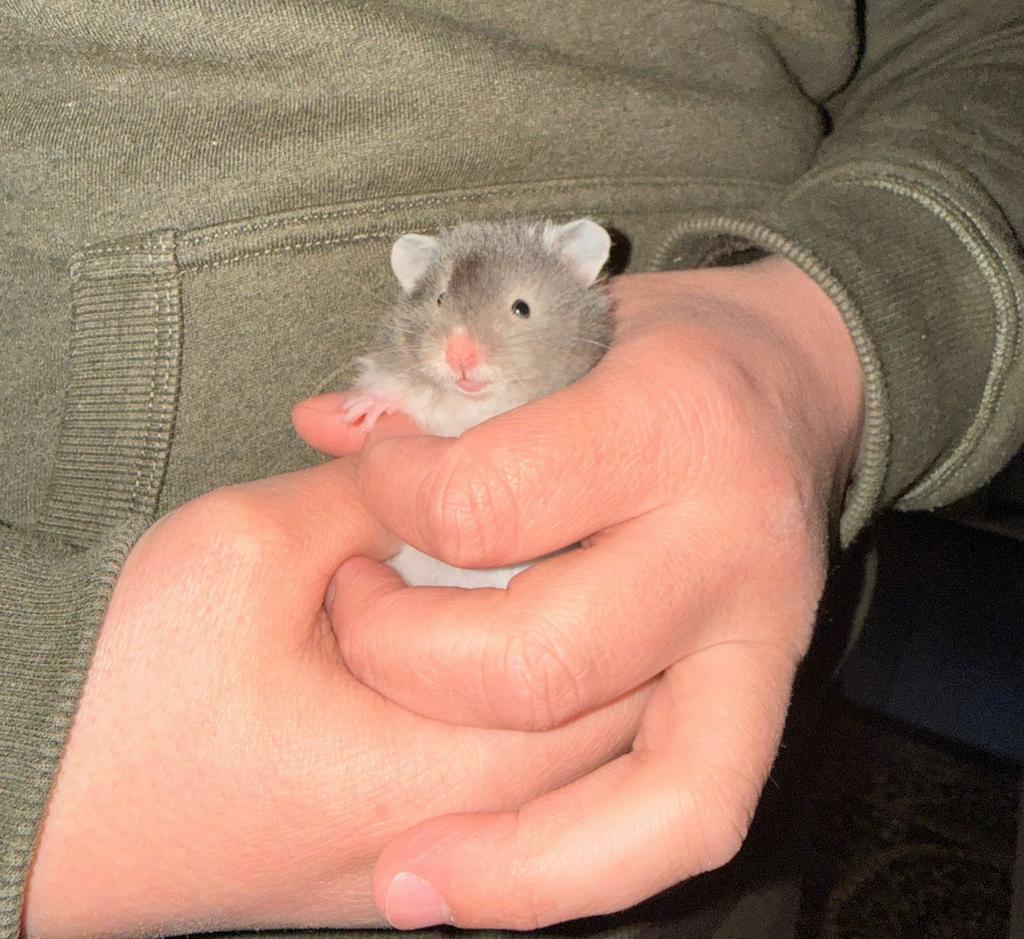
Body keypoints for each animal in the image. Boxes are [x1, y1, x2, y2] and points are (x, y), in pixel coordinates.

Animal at [342, 218, 614, 588]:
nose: (458, 356)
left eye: (522, 307)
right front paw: (357, 411)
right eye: (440, 298)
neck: (476, 404)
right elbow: (395, 386)